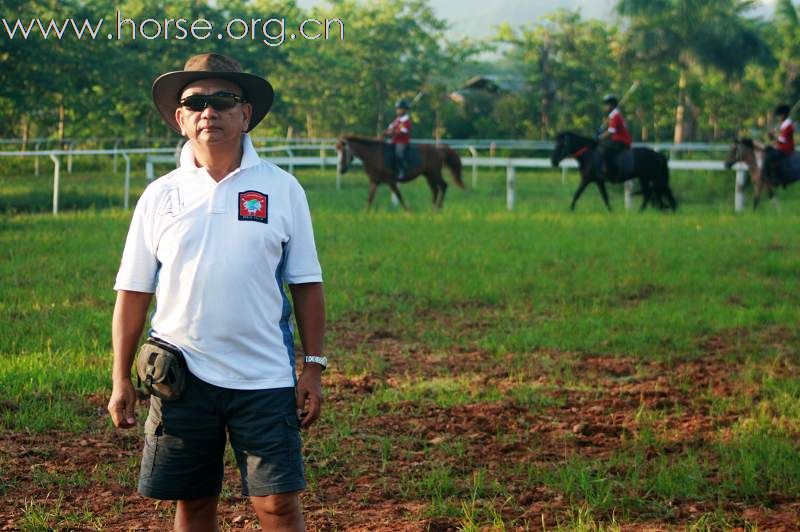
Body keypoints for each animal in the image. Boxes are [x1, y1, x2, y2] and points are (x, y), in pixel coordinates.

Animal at [552, 132, 680, 211]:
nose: (553, 162)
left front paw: (570, 209)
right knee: (655, 192)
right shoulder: (598, 181)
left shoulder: (586, 179)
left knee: (653, 192)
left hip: (650, 177)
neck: (589, 154)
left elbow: (577, 194)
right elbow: (604, 196)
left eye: (561, 145)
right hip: (647, 178)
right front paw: (610, 210)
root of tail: (658, 155)